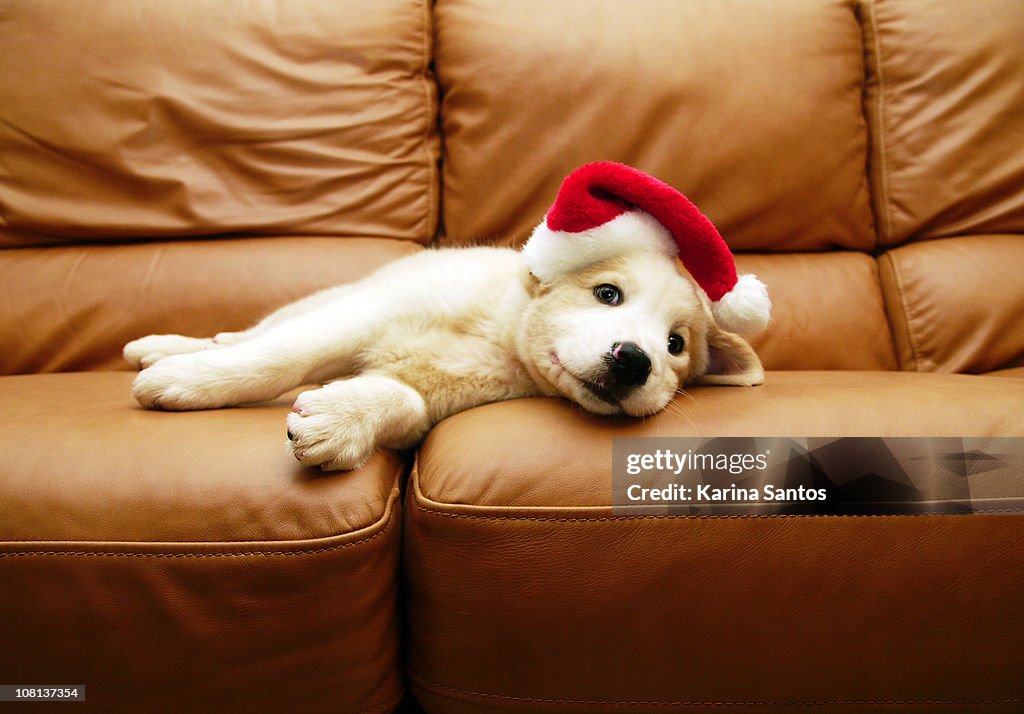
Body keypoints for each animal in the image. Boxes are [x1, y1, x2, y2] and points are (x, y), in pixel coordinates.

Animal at [123, 163, 770, 471]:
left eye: (676, 345)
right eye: (607, 294)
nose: (634, 361)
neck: (496, 336)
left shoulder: (438, 400)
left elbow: (404, 401)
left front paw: (342, 420)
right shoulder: (359, 316)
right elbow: (279, 357)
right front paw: (187, 381)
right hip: (329, 299)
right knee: (257, 332)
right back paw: (170, 350)